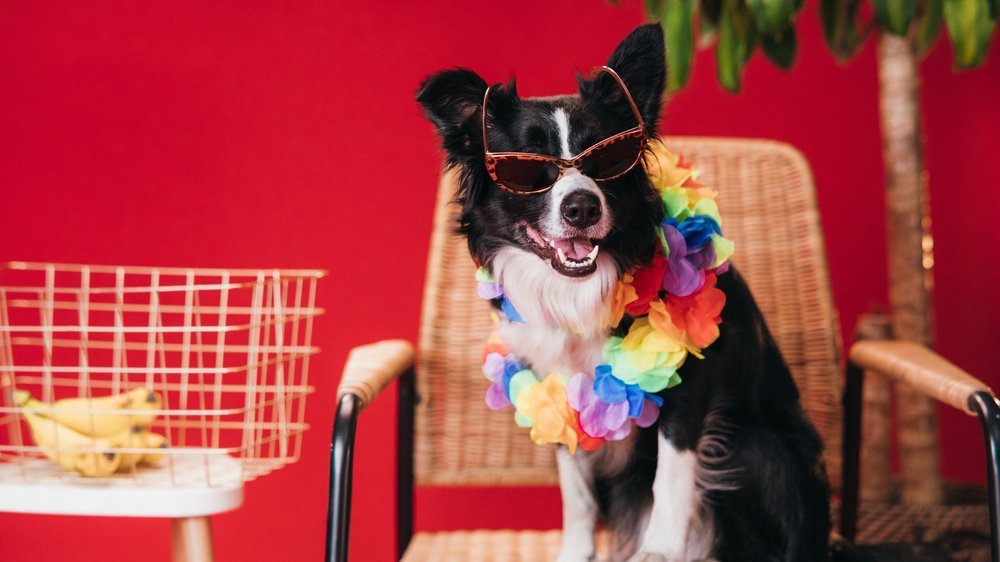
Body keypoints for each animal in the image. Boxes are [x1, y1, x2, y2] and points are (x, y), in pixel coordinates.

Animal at [418, 21, 832, 560]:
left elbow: (671, 474)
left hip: (760, 447)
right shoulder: (555, 390)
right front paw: (576, 552)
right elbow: (575, 490)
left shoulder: (691, 380)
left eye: (607, 159)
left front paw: (659, 551)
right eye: (527, 169)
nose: (581, 207)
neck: (578, 291)